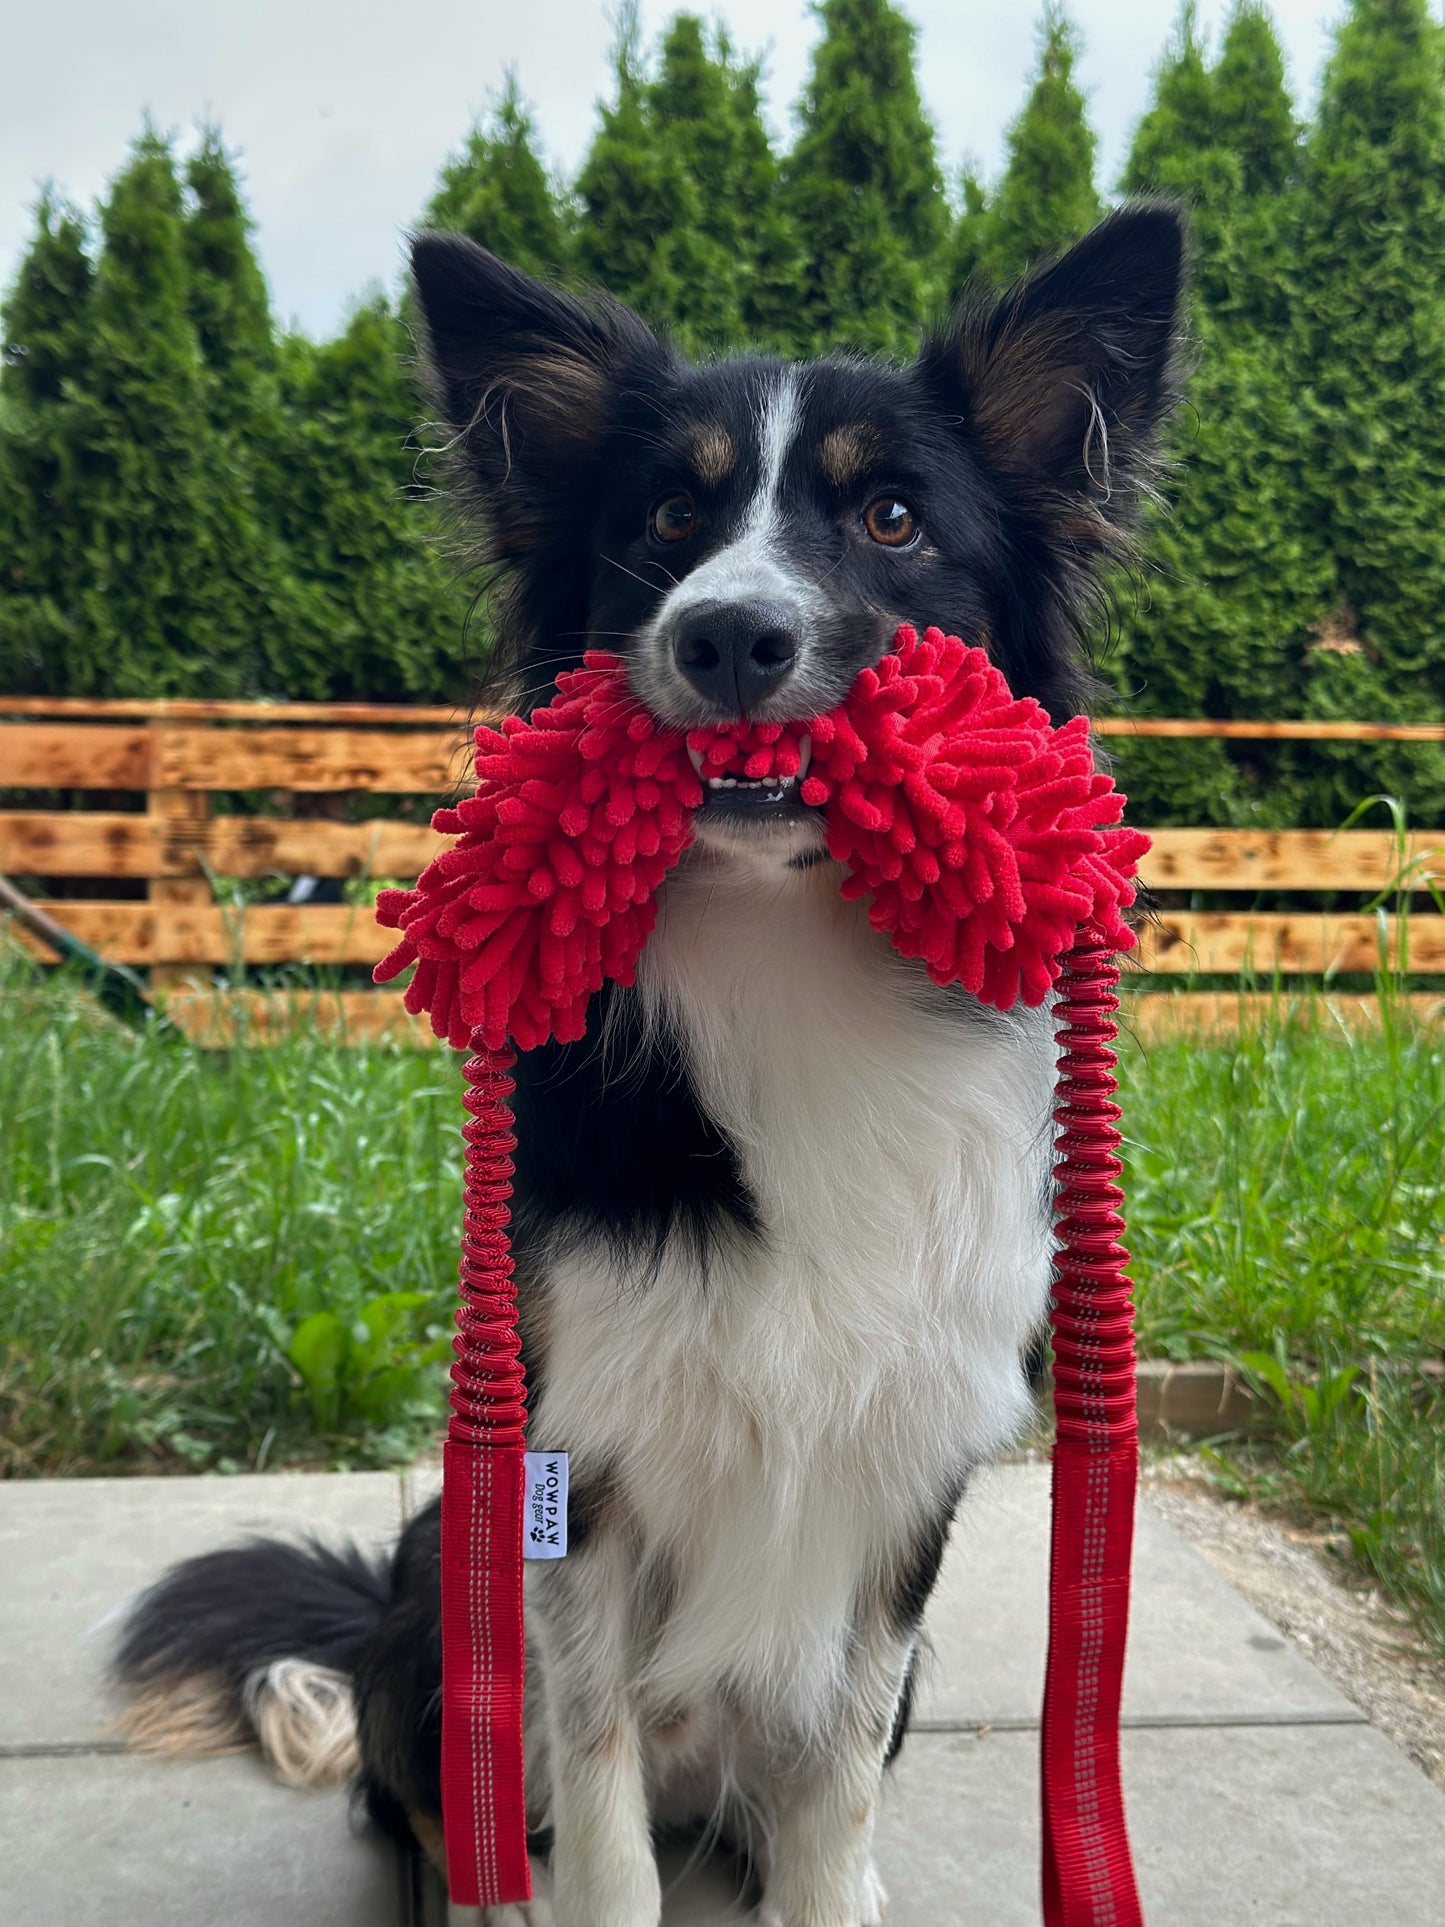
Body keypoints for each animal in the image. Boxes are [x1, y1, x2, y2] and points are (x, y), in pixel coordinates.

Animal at [116, 203, 1186, 1919]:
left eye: (891, 514)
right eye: (670, 517)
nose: (727, 634)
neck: (784, 953)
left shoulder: (901, 1479)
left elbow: (832, 1773)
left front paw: (831, 1882)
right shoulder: (576, 1466)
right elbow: (599, 1792)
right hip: (434, 1594)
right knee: (443, 1794)